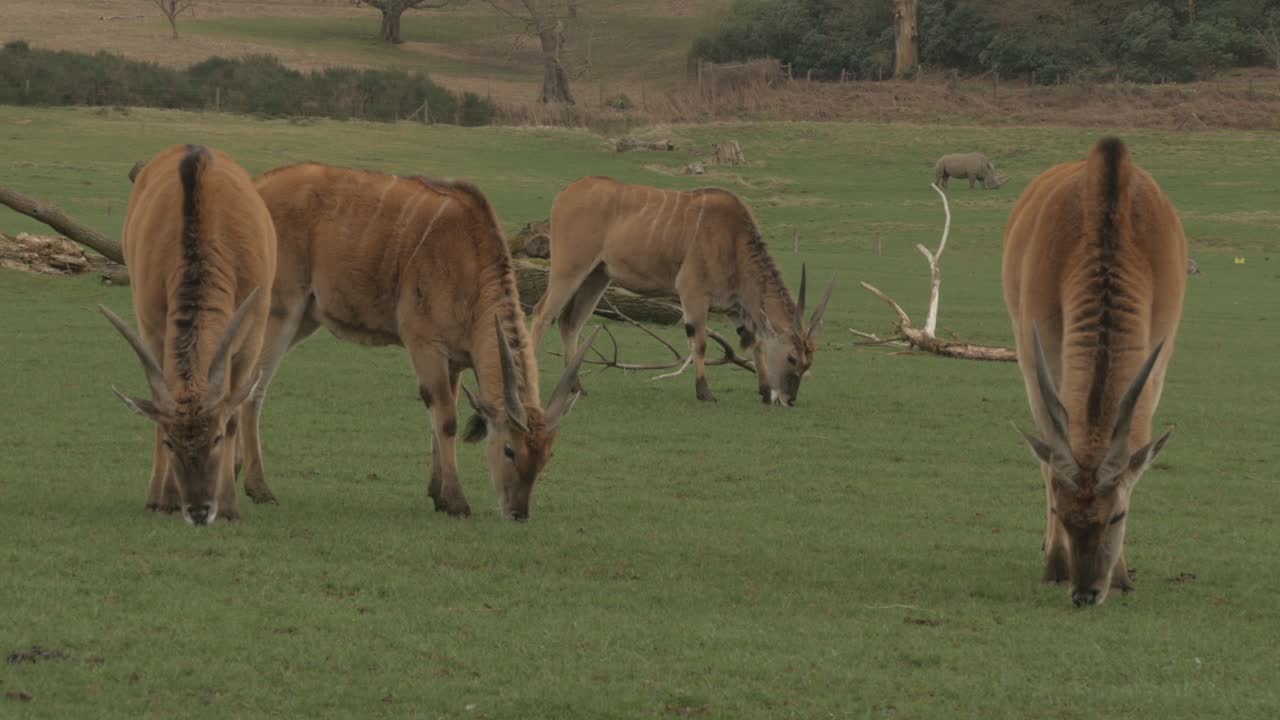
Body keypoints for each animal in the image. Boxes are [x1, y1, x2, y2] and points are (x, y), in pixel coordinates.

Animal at [100, 144, 276, 526]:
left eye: (215, 439)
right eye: (171, 442)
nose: (197, 511)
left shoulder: (251, 337)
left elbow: (235, 412)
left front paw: (229, 507)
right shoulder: (152, 327)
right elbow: (156, 413)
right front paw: (162, 499)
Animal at [247, 164, 595, 520]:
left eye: (547, 456)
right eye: (510, 449)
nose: (519, 513)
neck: (470, 258)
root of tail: (257, 187)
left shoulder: (454, 361)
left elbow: (439, 417)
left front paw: (438, 494)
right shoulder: (425, 344)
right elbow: (446, 419)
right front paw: (456, 501)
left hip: (304, 317)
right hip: (281, 311)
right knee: (253, 387)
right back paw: (259, 489)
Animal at [529, 177, 833, 406]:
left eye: (808, 363)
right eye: (792, 357)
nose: (788, 399)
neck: (733, 240)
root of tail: (567, 193)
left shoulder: (735, 308)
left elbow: (756, 342)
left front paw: (763, 390)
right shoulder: (692, 293)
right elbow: (699, 342)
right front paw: (704, 392)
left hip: (596, 276)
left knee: (570, 322)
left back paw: (576, 387)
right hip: (569, 269)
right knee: (541, 314)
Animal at [1004, 138, 1187, 607]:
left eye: (1118, 515)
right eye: (1061, 512)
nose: (1085, 592)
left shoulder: (1160, 352)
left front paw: (1122, 576)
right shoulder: (1039, 349)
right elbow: (1049, 454)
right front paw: (1055, 563)